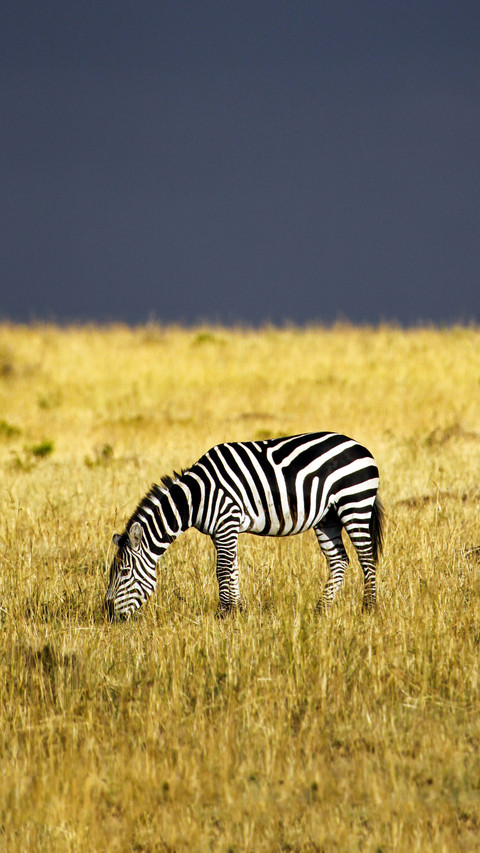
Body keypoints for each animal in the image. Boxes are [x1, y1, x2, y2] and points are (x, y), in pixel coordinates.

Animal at [105, 432, 384, 621]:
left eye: (125, 572)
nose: (106, 613)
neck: (196, 496)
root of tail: (359, 446)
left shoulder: (226, 521)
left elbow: (222, 570)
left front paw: (222, 613)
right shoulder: (222, 530)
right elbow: (234, 569)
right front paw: (237, 610)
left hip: (355, 504)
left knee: (367, 559)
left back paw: (368, 609)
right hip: (328, 518)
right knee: (339, 561)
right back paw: (320, 610)